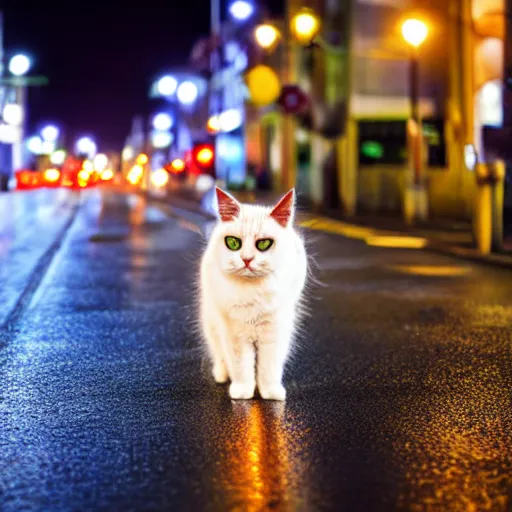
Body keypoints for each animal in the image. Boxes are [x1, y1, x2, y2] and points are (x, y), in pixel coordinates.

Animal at [198, 187, 306, 400]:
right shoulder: (234, 333)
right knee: (219, 354)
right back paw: (222, 375)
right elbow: (242, 367)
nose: (246, 259)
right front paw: (242, 393)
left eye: (264, 244)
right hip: (211, 323)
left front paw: (270, 394)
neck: (252, 291)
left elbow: (268, 368)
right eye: (233, 243)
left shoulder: (274, 330)